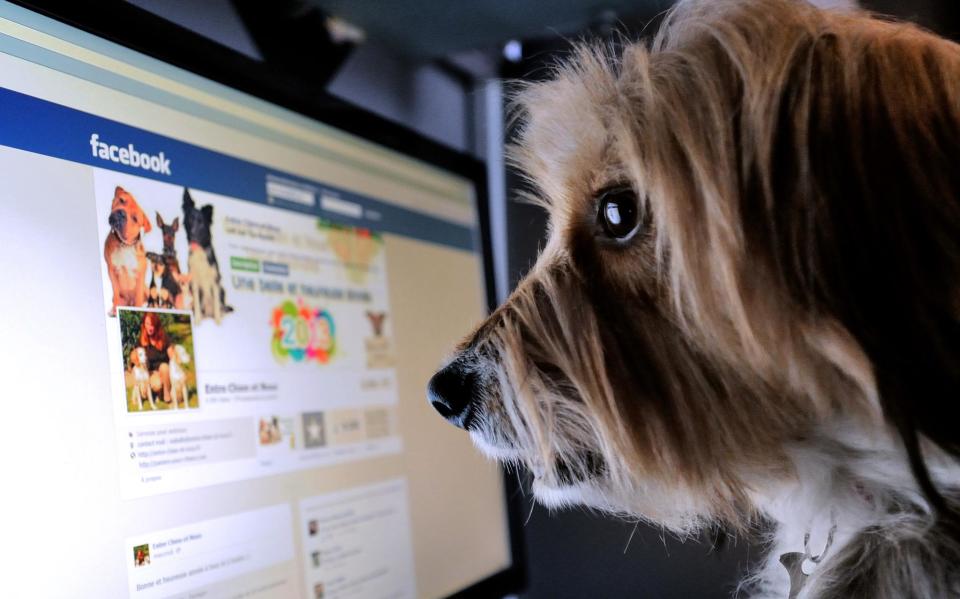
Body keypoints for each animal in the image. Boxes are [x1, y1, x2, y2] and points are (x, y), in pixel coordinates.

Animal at [104, 186, 151, 318]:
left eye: (135, 218)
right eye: (121, 200)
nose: (122, 213)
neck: (124, 245)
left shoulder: (140, 276)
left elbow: (139, 298)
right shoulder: (111, 271)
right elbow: (115, 291)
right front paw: (114, 311)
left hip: (146, 289)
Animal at [182, 190, 232, 326]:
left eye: (201, 223)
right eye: (189, 220)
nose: (192, 234)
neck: (199, 252)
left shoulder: (215, 281)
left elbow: (216, 305)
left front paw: (218, 323)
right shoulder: (194, 283)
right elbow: (197, 305)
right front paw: (197, 322)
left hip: (222, 289)